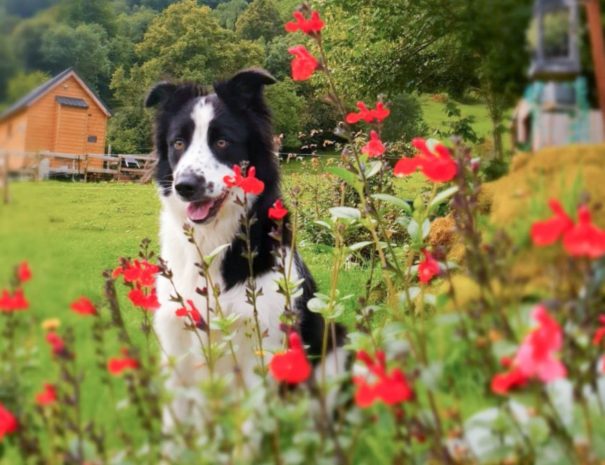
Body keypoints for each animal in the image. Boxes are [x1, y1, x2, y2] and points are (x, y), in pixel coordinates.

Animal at [145, 68, 346, 428]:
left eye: (222, 141)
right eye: (178, 143)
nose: (185, 186)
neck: (211, 245)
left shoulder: (260, 354)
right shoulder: (176, 350)